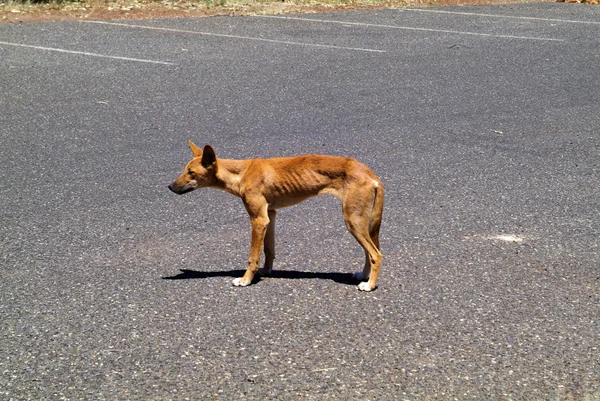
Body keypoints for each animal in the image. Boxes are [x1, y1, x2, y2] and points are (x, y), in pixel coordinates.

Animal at [169, 141, 384, 290]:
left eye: (191, 172)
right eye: (184, 170)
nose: (170, 186)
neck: (242, 173)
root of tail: (371, 173)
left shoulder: (258, 219)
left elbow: (252, 256)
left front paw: (246, 280)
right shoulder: (270, 215)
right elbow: (268, 249)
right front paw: (265, 271)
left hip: (353, 220)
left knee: (376, 254)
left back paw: (370, 285)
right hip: (360, 222)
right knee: (370, 252)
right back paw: (364, 276)